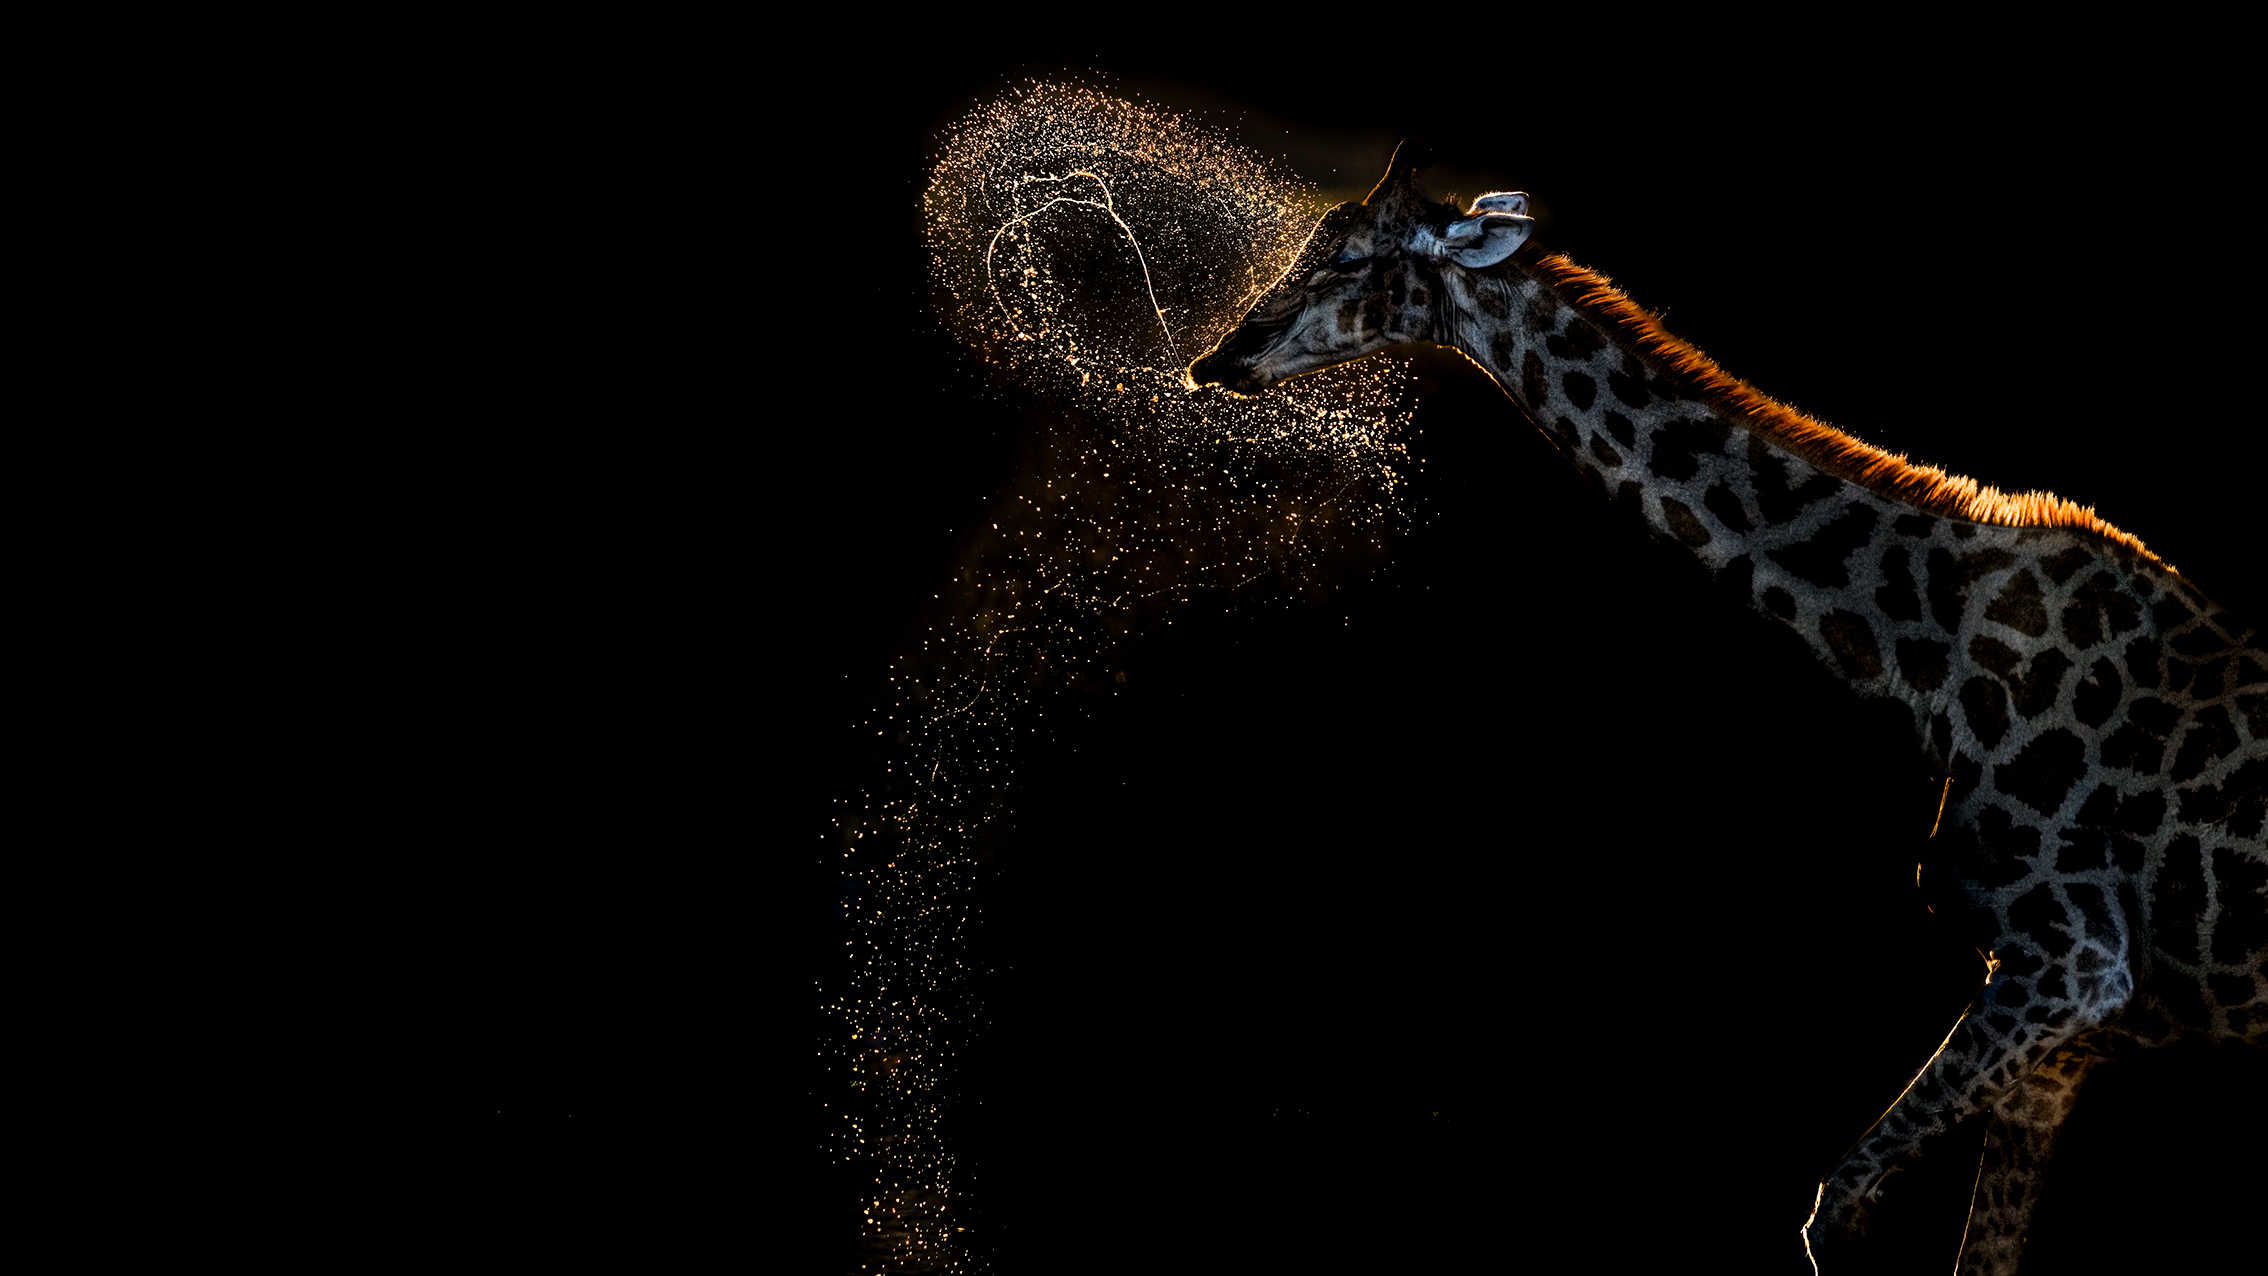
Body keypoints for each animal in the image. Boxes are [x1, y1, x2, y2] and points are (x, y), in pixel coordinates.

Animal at [1188, 142, 2266, 1275]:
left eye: (1353, 259)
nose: (1219, 358)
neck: (1921, 654)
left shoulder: (2071, 964)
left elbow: (1838, 1202)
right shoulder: (2075, 1025)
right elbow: (1974, 1248)